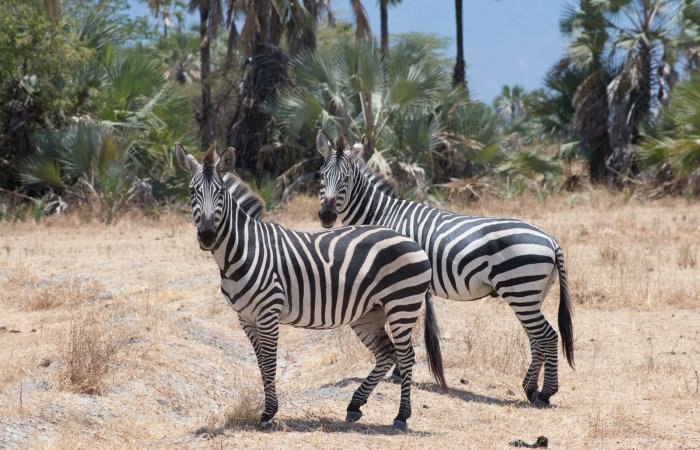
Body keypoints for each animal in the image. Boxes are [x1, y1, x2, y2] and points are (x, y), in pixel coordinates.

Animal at [176, 142, 448, 430]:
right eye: (193, 191)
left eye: (220, 193)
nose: (207, 235)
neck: (244, 249)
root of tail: (412, 241)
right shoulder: (246, 318)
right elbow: (260, 362)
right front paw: (268, 409)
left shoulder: (268, 312)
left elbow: (269, 362)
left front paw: (269, 412)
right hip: (369, 313)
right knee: (387, 355)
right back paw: (355, 405)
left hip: (401, 305)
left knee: (406, 357)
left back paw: (401, 417)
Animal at [316, 131, 576, 408]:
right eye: (321, 175)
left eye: (345, 178)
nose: (326, 215)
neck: (382, 216)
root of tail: (551, 240)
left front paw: (397, 372)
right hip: (532, 294)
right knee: (536, 338)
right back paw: (530, 389)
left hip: (520, 289)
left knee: (547, 336)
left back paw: (545, 393)